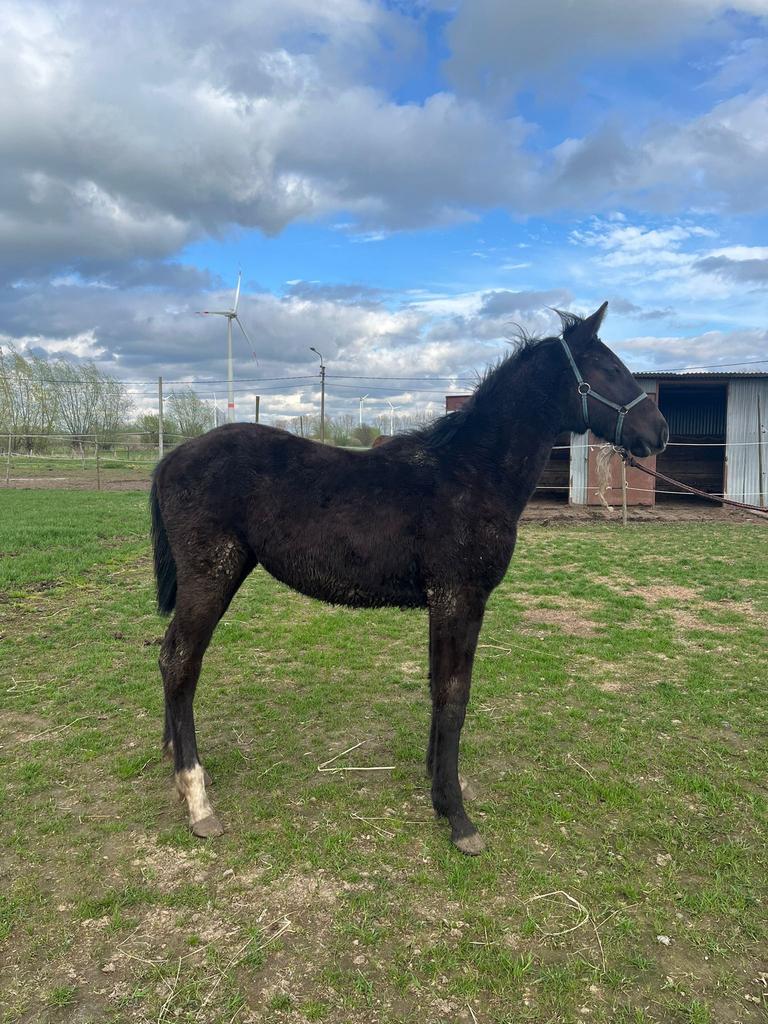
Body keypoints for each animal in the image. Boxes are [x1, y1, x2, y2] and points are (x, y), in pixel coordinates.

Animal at [150, 302, 668, 855]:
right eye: (608, 368)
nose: (659, 431)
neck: (470, 471)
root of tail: (171, 457)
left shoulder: (449, 603)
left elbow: (438, 687)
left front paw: (442, 783)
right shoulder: (460, 598)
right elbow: (454, 694)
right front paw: (457, 817)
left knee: (170, 657)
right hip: (212, 578)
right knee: (180, 662)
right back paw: (197, 800)